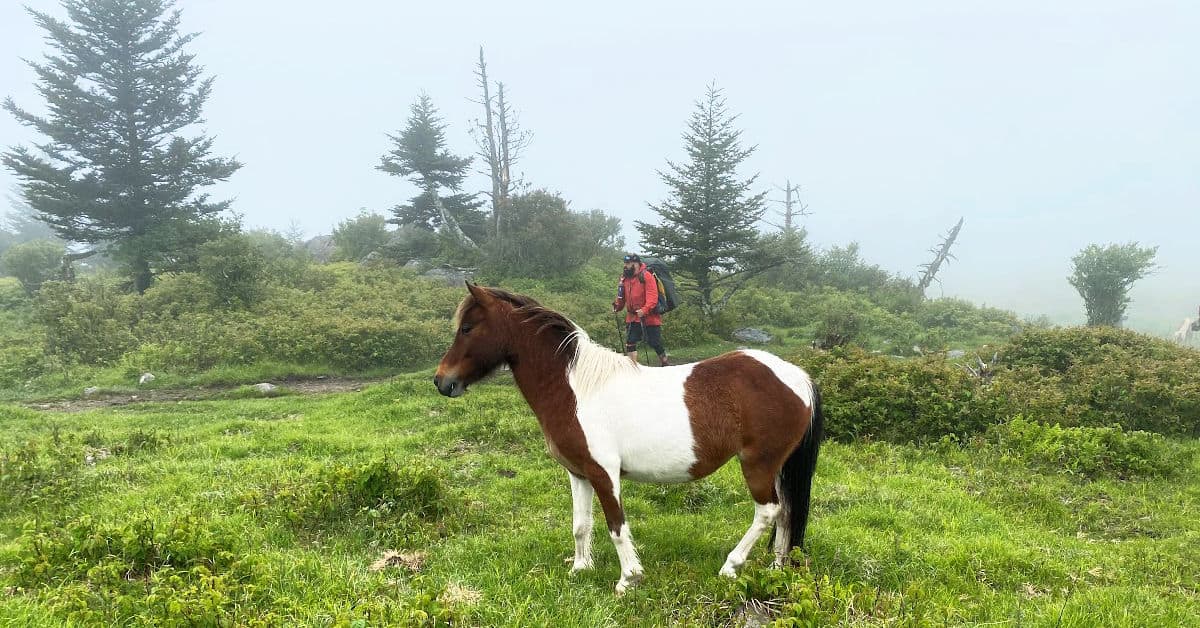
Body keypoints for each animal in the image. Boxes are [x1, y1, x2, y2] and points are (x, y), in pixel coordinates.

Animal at [434, 283, 823, 594]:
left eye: (467, 327)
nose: (442, 381)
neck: (577, 390)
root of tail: (799, 377)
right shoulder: (578, 473)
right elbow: (581, 525)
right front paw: (581, 569)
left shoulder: (604, 473)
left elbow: (616, 526)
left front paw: (628, 580)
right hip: (778, 467)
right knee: (786, 513)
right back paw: (776, 568)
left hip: (758, 464)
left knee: (768, 511)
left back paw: (731, 566)